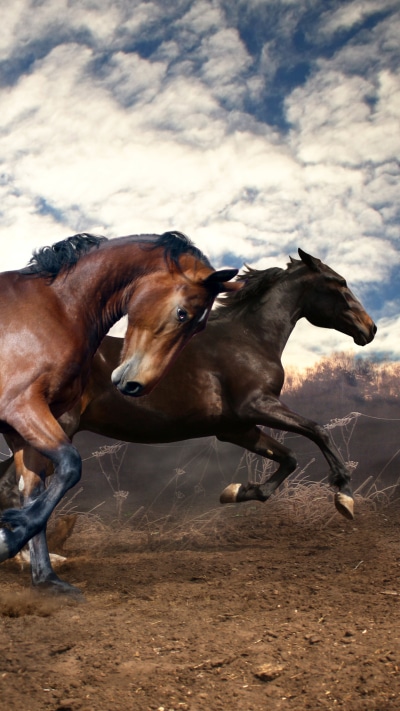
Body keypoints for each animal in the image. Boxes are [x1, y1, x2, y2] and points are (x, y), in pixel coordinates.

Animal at [0, 230, 238, 593]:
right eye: (182, 313)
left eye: (198, 327)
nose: (136, 385)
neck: (56, 307)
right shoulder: (21, 406)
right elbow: (70, 465)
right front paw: (8, 541)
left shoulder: (21, 428)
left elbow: (33, 491)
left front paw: (46, 579)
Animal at [0, 248, 376, 554]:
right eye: (339, 283)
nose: (369, 329)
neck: (248, 339)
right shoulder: (256, 406)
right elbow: (317, 431)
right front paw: (344, 496)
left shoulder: (236, 427)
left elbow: (289, 457)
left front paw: (237, 491)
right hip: (57, 430)